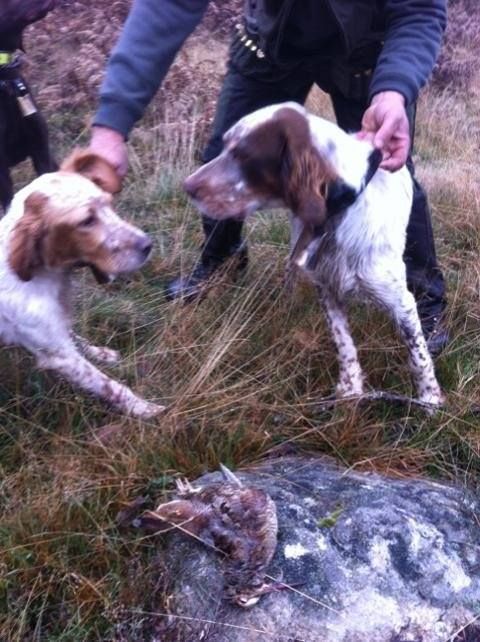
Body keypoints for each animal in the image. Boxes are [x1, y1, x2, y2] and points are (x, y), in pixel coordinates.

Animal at [0, 152, 164, 418]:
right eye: (86, 221)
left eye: (109, 203)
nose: (147, 245)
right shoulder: (59, 355)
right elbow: (110, 386)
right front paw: (145, 408)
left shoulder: (55, 327)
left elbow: (75, 337)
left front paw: (100, 352)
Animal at [184, 104, 442, 404]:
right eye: (225, 145)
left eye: (244, 155)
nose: (187, 186)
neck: (337, 215)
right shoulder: (327, 288)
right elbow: (344, 343)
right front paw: (350, 390)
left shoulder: (401, 302)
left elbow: (419, 355)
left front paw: (429, 400)